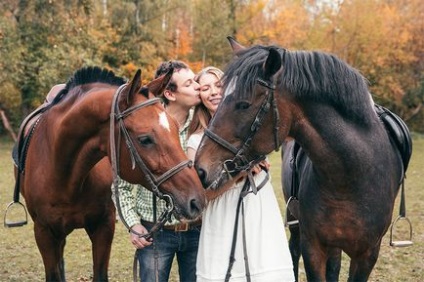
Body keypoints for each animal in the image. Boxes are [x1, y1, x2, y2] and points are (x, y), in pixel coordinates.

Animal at [10, 66, 206, 280]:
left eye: (175, 128)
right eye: (145, 139)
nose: (197, 200)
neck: (65, 175)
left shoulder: (103, 227)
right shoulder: (44, 233)